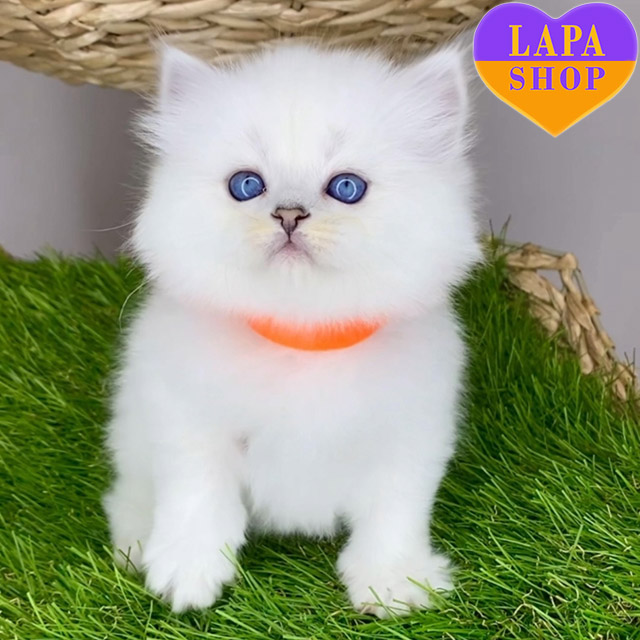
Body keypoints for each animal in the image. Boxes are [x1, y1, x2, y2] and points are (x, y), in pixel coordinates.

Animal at [103, 42, 481, 617]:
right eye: (246, 186)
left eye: (346, 188)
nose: (288, 214)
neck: (304, 337)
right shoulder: (189, 421)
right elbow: (197, 495)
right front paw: (187, 574)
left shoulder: (411, 434)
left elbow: (394, 512)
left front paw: (391, 583)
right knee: (128, 493)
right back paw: (137, 542)